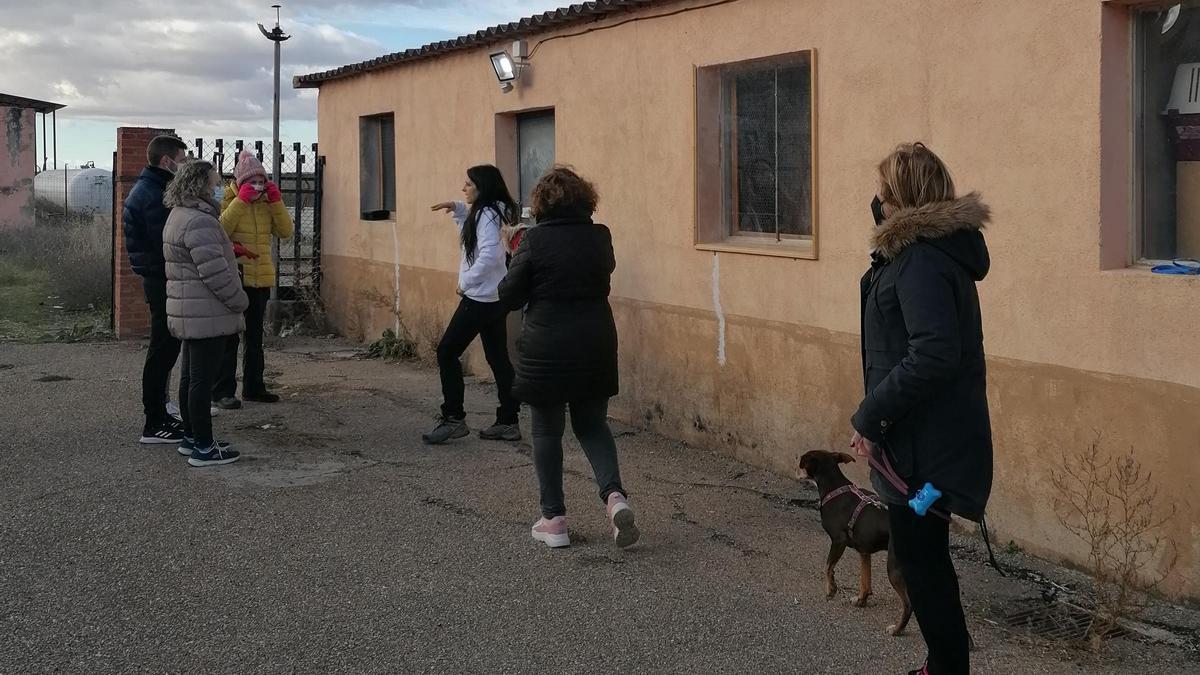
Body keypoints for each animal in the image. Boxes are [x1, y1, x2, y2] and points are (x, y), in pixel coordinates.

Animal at [801, 449, 912, 634]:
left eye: (803, 460)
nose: (797, 464)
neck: (835, 488)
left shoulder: (839, 540)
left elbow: (827, 567)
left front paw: (831, 589)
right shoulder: (864, 552)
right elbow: (864, 581)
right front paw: (861, 601)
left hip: (894, 568)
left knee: (908, 604)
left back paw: (897, 630)